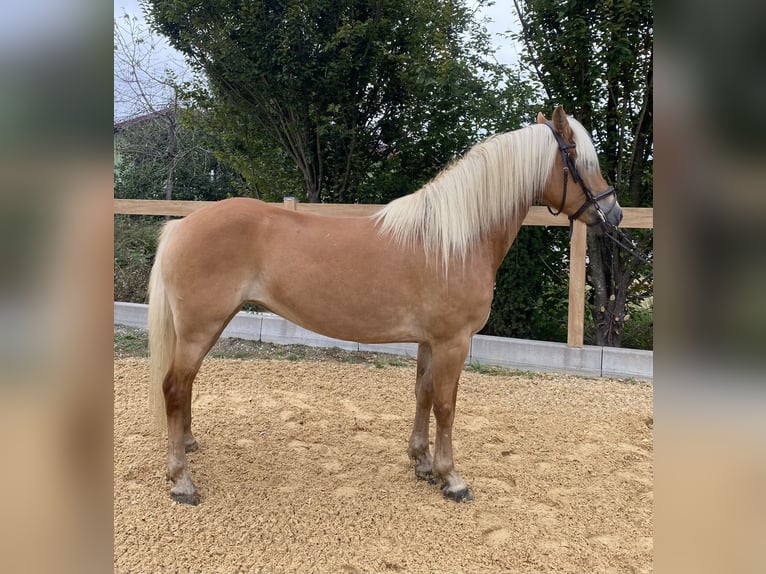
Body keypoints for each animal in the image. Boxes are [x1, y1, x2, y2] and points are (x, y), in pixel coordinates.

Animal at [147, 107, 620, 504]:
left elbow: (423, 394)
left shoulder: (431, 342)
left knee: (187, 385)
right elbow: (446, 405)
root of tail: (182, 225)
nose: (613, 213)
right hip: (200, 326)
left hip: (210, 325)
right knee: (174, 386)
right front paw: (451, 478)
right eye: (581, 160)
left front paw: (422, 463)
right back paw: (182, 480)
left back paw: (187, 445)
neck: (454, 239)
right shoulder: (453, 342)